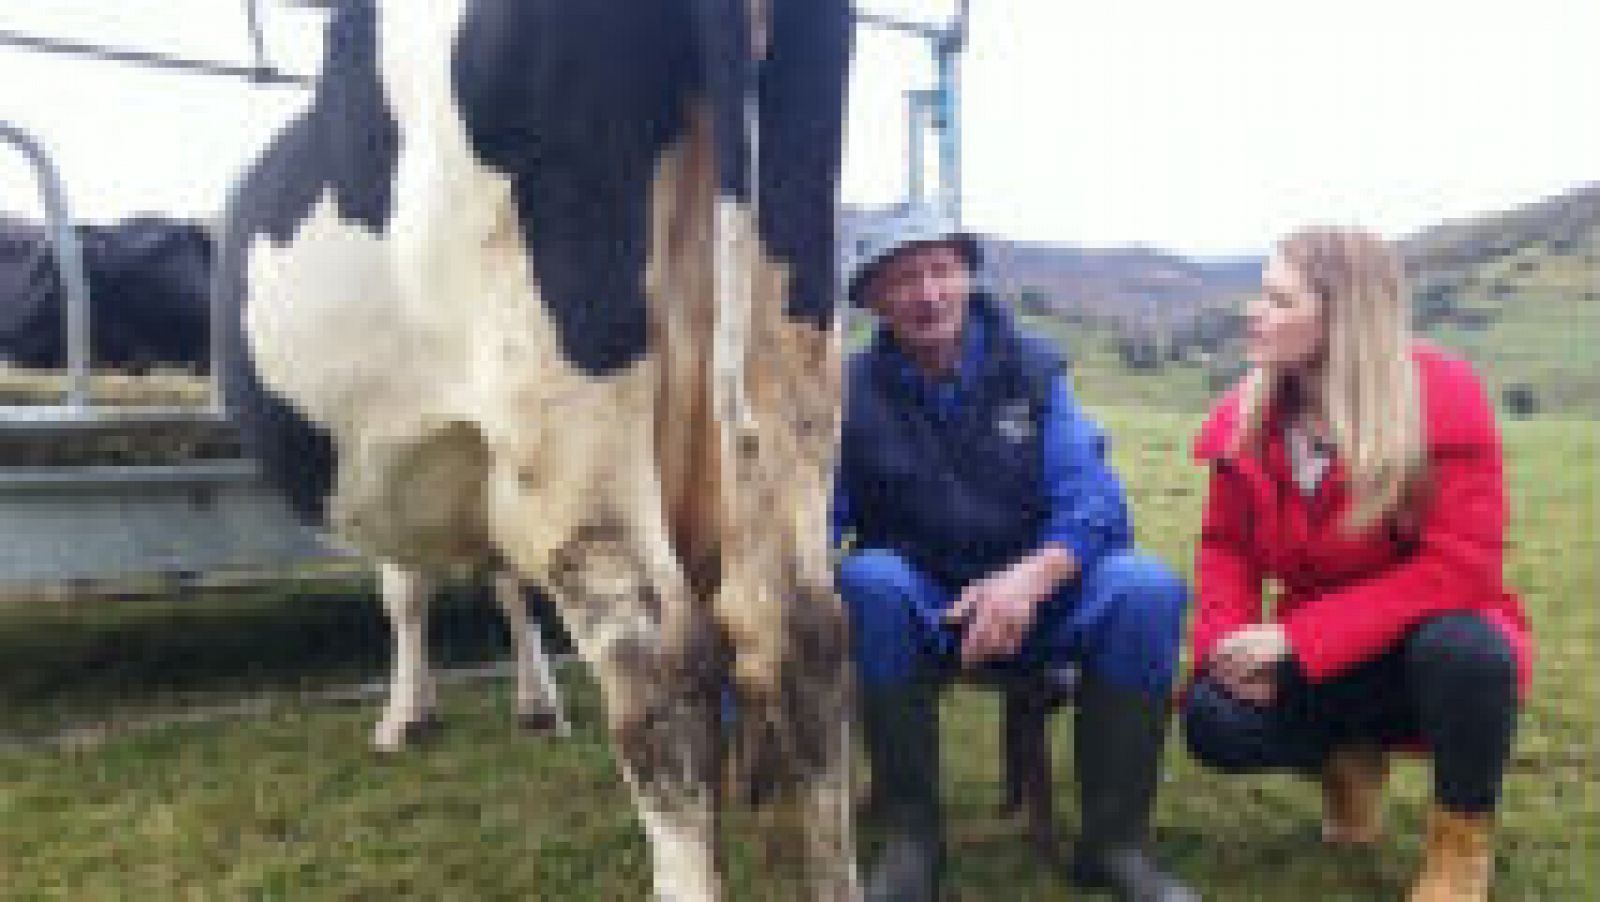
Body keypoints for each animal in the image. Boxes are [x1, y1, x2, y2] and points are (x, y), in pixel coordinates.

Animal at [215, 1, 856, 897]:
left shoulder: (398, 460)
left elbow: (404, 591)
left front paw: (403, 717)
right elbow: (508, 588)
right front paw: (535, 703)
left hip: (561, 411)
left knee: (660, 669)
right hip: (789, 373)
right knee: (806, 634)